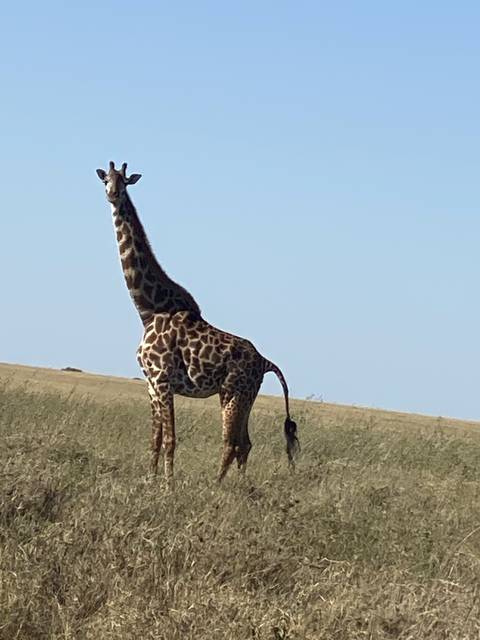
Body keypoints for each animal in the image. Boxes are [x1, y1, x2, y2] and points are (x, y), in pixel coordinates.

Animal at [96, 161, 299, 481]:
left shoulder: (163, 379)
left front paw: (168, 484)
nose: (113, 194)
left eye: (124, 182)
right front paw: (150, 480)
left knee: (231, 442)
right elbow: (154, 439)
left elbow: (170, 439)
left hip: (232, 392)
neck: (148, 310)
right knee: (245, 443)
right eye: (106, 179)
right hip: (245, 396)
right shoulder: (150, 383)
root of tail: (266, 362)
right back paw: (240, 485)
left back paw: (218, 484)